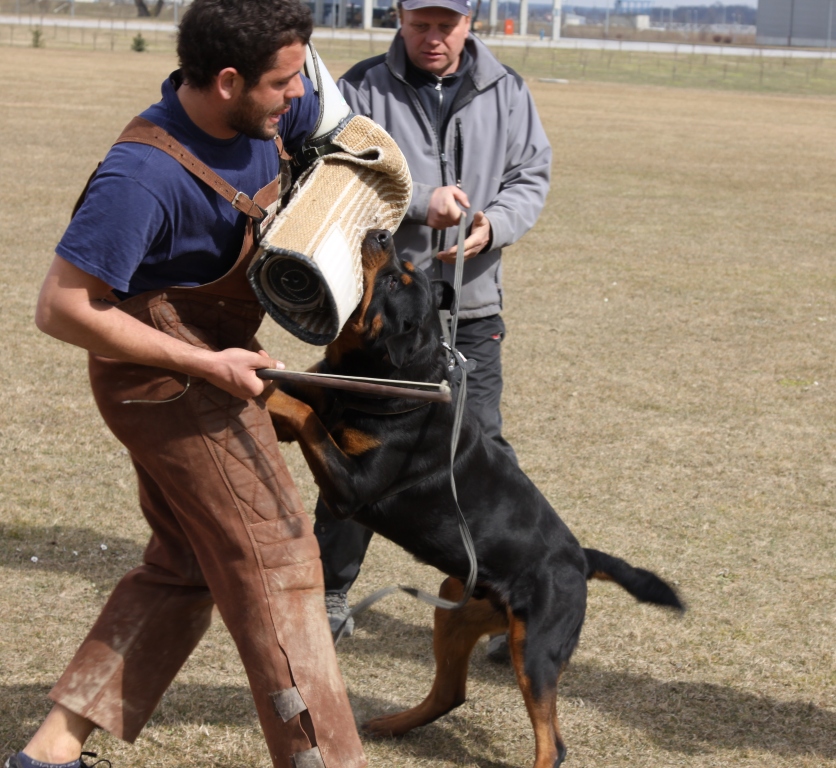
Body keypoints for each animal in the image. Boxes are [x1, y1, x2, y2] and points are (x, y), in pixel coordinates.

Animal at [264, 230, 684, 768]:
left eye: (395, 280)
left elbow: (304, 414)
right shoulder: (326, 398)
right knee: (451, 693)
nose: (380, 234)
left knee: (553, 742)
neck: (392, 379)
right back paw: (392, 724)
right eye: (399, 266)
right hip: (455, 606)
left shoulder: (352, 488)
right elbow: (301, 398)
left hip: (537, 646)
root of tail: (580, 558)